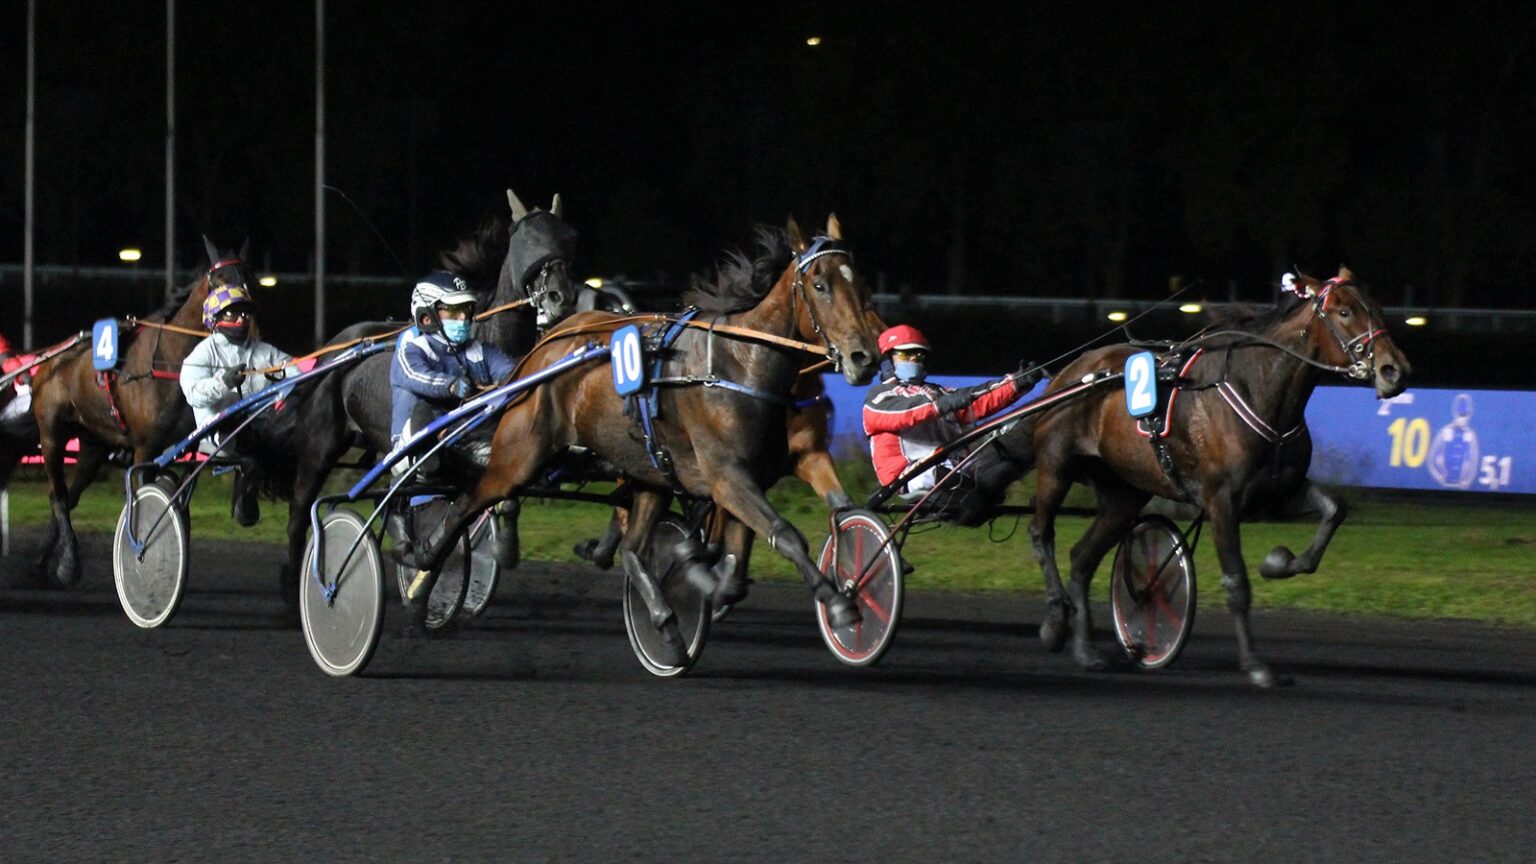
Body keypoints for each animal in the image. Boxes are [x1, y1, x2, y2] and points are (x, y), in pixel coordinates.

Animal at [25, 238, 254, 581]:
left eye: (249, 279)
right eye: (220, 280)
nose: (242, 315)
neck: (170, 363)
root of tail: (50, 360)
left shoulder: (185, 446)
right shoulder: (145, 448)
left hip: (93, 445)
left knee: (72, 494)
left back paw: (40, 560)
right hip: (52, 434)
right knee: (59, 496)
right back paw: (68, 564)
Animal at [405, 215, 890, 657]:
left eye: (861, 284)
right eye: (820, 285)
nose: (865, 356)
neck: (738, 364)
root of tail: (547, 345)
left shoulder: (752, 475)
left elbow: (738, 568)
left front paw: (703, 581)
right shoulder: (727, 477)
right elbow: (785, 535)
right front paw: (840, 606)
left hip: (648, 470)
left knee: (633, 549)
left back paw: (664, 621)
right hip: (520, 456)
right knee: (468, 503)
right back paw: (422, 574)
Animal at [1013, 265, 1406, 682]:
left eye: (1378, 309)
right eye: (1345, 312)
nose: (1394, 370)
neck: (1260, 391)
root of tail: (1068, 374)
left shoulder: (1279, 492)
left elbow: (1333, 510)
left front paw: (1278, 562)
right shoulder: (1222, 500)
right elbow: (1237, 582)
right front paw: (1255, 665)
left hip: (1124, 492)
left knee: (1082, 557)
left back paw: (1087, 651)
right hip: (1056, 466)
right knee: (1041, 533)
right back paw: (1056, 622)